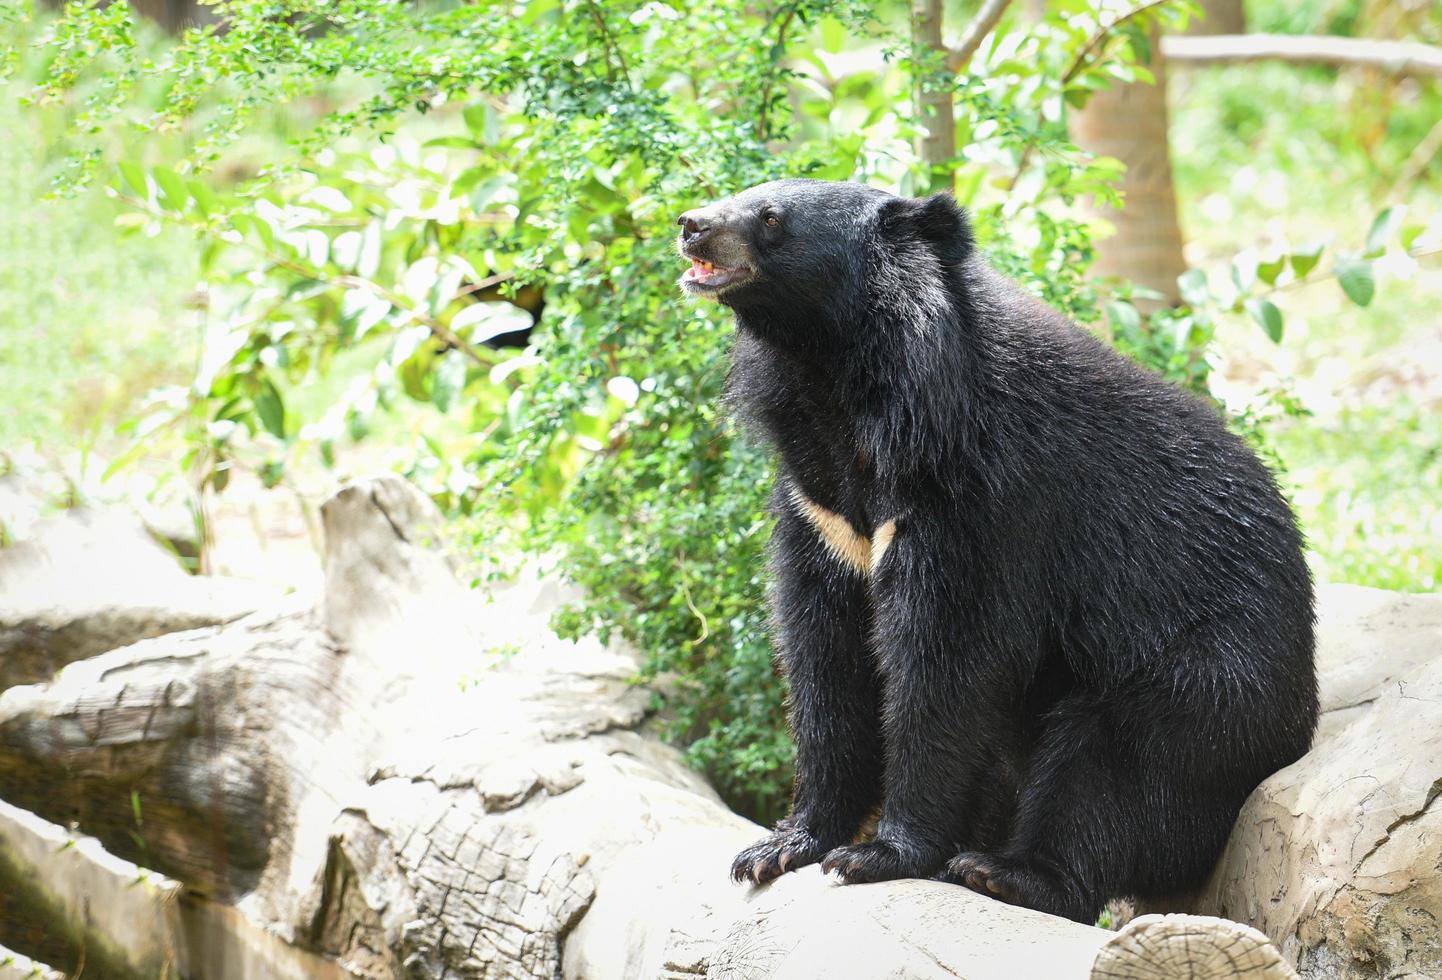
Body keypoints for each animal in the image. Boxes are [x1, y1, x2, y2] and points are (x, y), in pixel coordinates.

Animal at [674, 180, 1320, 922]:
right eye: (741, 194)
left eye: (771, 218)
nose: (690, 225)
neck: (842, 380)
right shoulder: (822, 511)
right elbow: (824, 656)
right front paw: (780, 846)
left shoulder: (977, 501)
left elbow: (945, 663)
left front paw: (878, 855)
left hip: (1207, 681)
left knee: (1108, 768)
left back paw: (1004, 872)